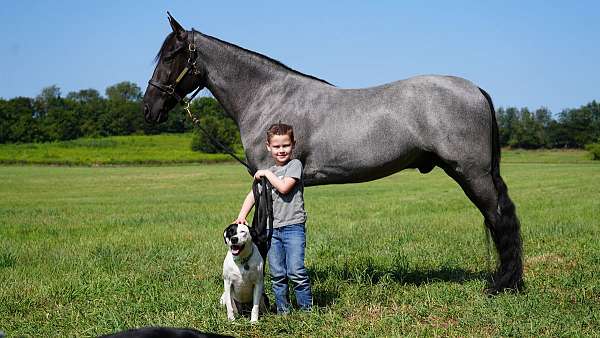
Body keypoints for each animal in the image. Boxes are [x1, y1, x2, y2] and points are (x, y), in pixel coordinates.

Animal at [144, 13, 520, 294]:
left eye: (170, 56)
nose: (149, 109)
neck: (266, 96)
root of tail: (475, 89)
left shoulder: (265, 180)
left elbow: (262, 235)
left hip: (471, 172)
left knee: (500, 218)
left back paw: (503, 285)